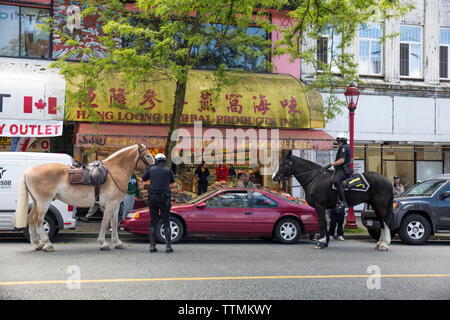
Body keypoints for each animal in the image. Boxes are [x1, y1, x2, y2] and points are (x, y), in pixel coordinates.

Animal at [14, 144, 155, 251]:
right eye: (148, 155)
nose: (154, 168)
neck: (115, 171)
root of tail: (28, 171)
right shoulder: (110, 204)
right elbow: (105, 222)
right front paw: (103, 243)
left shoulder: (114, 205)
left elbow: (114, 223)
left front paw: (117, 242)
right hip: (44, 201)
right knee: (38, 220)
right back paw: (47, 244)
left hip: (36, 201)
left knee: (31, 219)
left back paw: (37, 243)